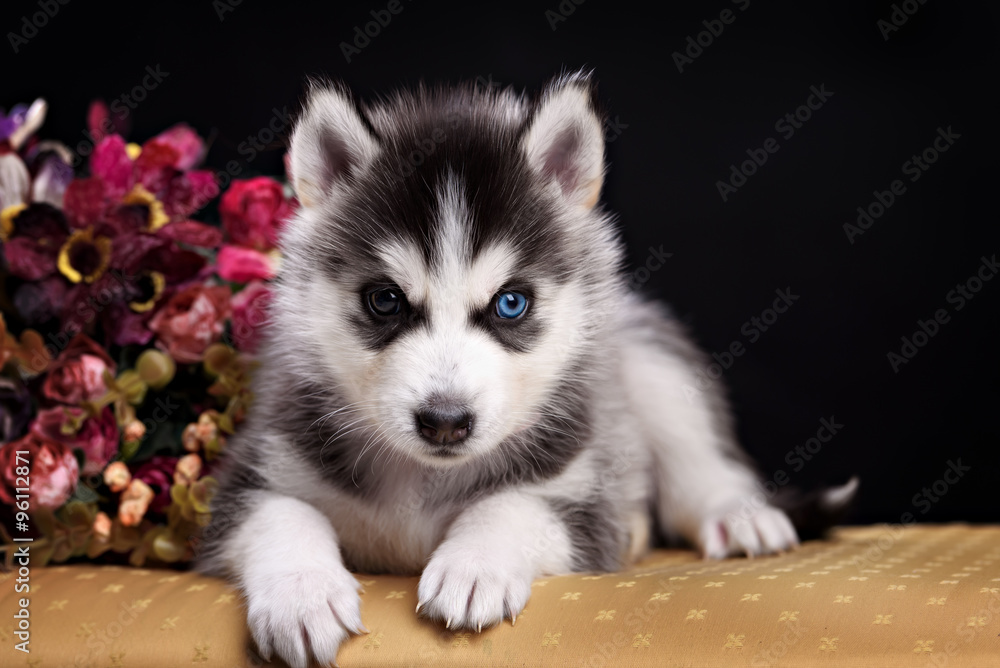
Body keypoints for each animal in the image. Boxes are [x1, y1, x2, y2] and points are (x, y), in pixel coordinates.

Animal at [199, 73, 856, 668]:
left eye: (510, 303)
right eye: (384, 300)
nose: (444, 422)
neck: (425, 480)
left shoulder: (585, 498)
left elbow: (515, 504)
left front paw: (474, 565)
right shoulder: (254, 470)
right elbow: (283, 512)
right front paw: (301, 596)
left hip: (647, 359)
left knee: (696, 459)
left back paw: (740, 516)